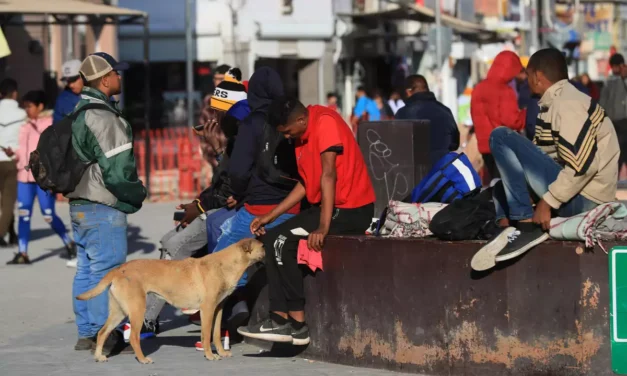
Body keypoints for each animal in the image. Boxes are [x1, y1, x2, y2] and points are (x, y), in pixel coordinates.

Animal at [76, 238, 264, 364]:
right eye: (262, 247)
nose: (268, 250)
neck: (224, 265)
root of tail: (118, 269)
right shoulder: (207, 309)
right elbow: (206, 335)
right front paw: (210, 355)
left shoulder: (218, 309)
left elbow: (216, 334)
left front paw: (222, 353)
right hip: (137, 310)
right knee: (135, 337)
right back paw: (143, 359)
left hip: (119, 312)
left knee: (102, 332)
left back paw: (99, 356)